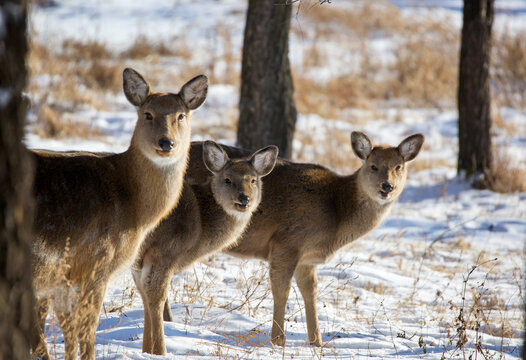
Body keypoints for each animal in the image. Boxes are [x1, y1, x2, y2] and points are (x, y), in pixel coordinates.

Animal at [29, 68, 208, 360]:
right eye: (147, 114)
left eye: (180, 115)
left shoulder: (64, 277)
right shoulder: (96, 262)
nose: (166, 142)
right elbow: (86, 331)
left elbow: (69, 331)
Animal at [134, 140, 278, 354]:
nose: (244, 199)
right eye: (227, 179)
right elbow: (156, 296)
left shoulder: (140, 260)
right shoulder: (166, 250)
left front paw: (146, 350)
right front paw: (160, 351)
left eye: (253, 180)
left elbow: (143, 294)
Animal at [164, 131, 424, 348]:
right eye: (373, 166)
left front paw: (317, 342)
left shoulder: (307, 259)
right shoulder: (288, 241)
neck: (336, 212)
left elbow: (311, 293)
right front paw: (278, 340)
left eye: (399, 166)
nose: (387, 187)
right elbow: (282, 290)